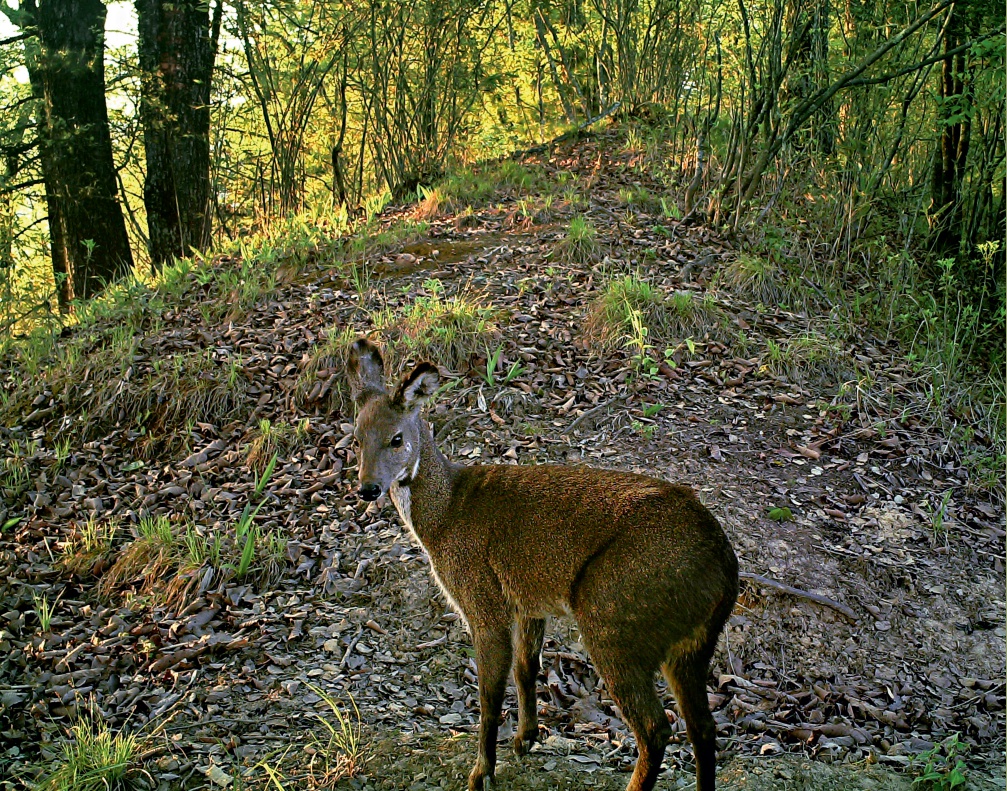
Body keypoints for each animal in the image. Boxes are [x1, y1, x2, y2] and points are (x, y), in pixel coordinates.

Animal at [346, 338, 741, 788]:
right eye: (356, 438)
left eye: (396, 438)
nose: (367, 488)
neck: (445, 517)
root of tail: (726, 570)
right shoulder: (530, 601)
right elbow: (525, 668)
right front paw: (525, 739)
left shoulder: (481, 597)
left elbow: (488, 694)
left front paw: (481, 773)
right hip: (691, 643)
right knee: (702, 725)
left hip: (613, 614)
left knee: (656, 727)